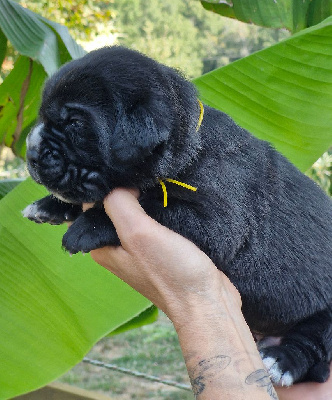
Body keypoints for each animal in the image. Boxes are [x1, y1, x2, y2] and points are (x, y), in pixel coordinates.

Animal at [23, 45, 332, 386]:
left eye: (75, 123)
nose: (30, 154)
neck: (186, 149)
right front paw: (49, 206)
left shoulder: (215, 220)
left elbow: (154, 207)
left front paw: (88, 226)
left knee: (312, 343)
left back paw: (281, 361)